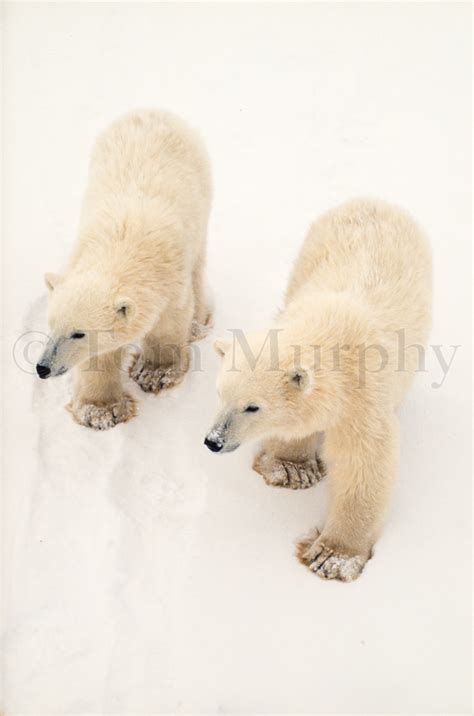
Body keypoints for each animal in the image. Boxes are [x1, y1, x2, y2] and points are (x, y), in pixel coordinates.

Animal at [38, 109, 212, 428]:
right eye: (51, 324)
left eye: (79, 333)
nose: (43, 367)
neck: (123, 248)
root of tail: (151, 111)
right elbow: (101, 354)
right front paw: (100, 410)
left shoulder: (170, 280)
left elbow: (168, 325)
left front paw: (154, 373)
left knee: (198, 266)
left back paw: (197, 324)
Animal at [206, 196, 432, 580]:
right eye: (221, 394)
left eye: (252, 406)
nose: (213, 441)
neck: (330, 333)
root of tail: (374, 200)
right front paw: (293, 469)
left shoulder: (363, 399)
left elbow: (363, 463)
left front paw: (332, 556)